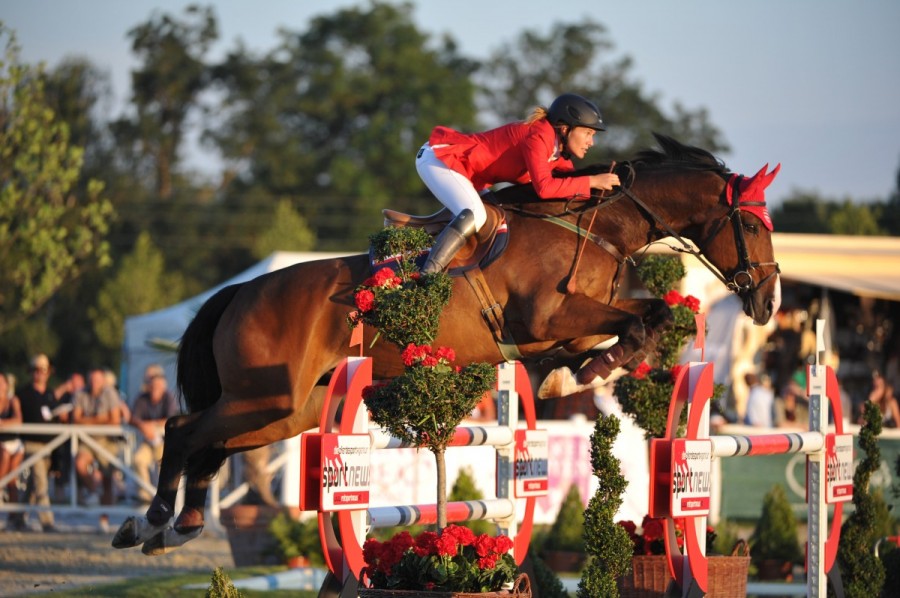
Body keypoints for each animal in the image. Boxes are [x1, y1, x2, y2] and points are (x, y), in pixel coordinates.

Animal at [112, 134, 776, 556]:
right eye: (750, 223)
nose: (767, 304)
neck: (594, 226)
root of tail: (240, 291)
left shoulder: (568, 325)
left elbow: (630, 326)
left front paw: (576, 374)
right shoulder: (549, 316)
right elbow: (646, 317)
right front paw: (591, 371)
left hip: (286, 409)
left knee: (211, 442)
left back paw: (180, 524)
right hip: (263, 395)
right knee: (182, 430)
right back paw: (149, 521)